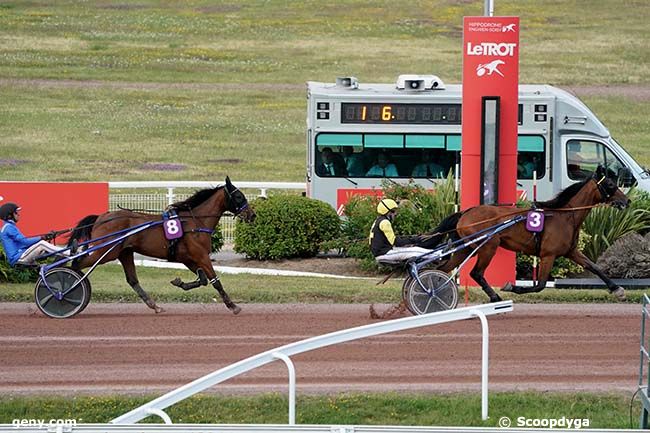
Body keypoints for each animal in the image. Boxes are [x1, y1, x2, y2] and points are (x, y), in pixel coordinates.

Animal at [68, 176, 254, 314]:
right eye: (239, 196)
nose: (252, 215)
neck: (196, 222)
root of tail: (101, 217)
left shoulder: (189, 258)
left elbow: (202, 279)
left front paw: (179, 282)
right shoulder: (201, 256)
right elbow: (215, 281)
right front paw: (233, 306)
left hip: (124, 252)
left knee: (132, 280)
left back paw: (155, 306)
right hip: (104, 252)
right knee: (76, 264)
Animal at [430, 165, 628, 300]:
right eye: (610, 184)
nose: (627, 201)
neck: (565, 216)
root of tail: (465, 212)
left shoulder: (571, 251)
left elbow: (594, 267)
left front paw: (616, 288)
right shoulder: (548, 255)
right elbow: (539, 285)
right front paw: (511, 287)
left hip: (465, 248)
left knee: (442, 269)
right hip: (488, 245)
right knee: (476, 273)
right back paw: (495, 297)